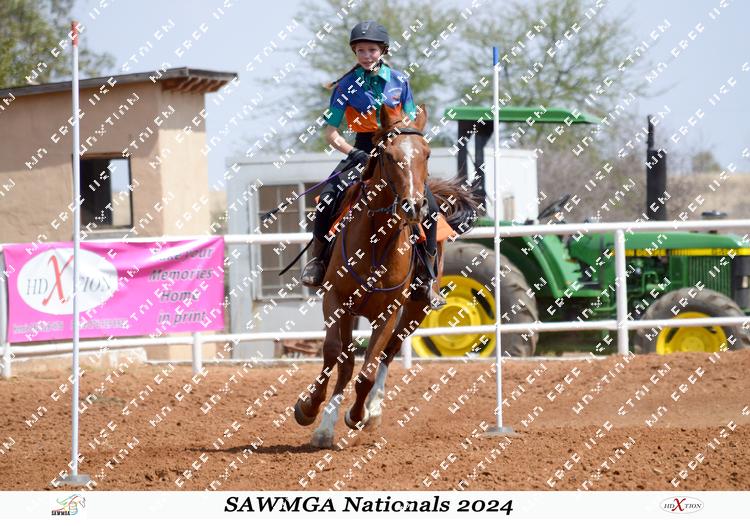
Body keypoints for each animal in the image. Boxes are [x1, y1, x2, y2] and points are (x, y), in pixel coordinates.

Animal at [294, 104, 482, 448]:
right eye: (389, 155)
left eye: (427, 154)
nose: (414, 206)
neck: (376, 242)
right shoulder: (336, 299)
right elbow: (334, 354)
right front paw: (309, 409)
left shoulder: (389, 312)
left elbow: (368, 371)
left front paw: (358, 415)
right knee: (346, 361)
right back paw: (325, 427)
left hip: (417, 308)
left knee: (388, 354)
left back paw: (372, 412)